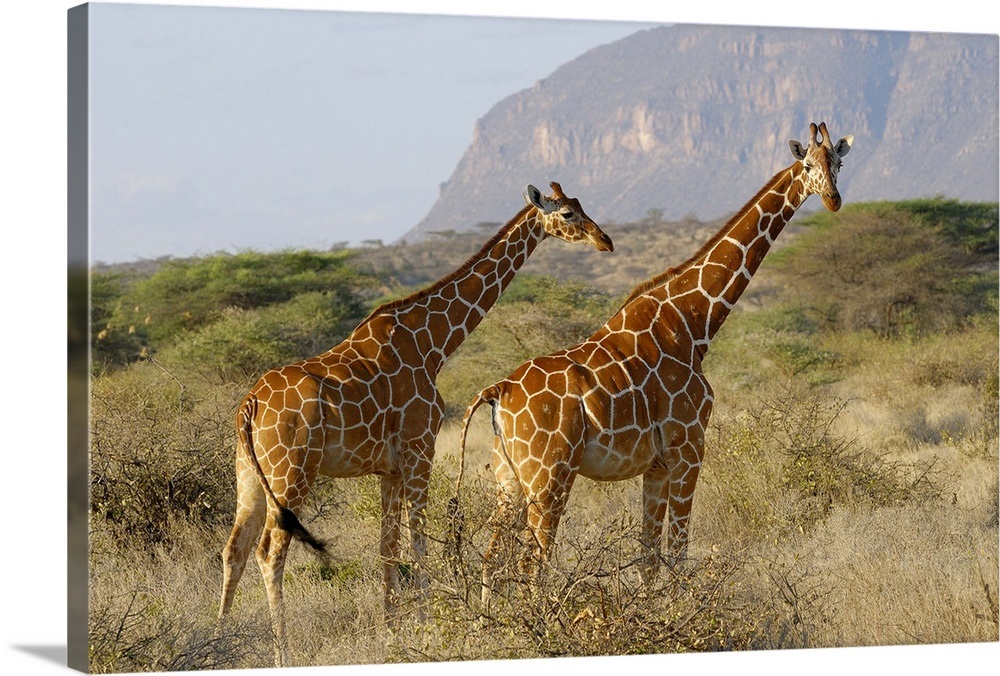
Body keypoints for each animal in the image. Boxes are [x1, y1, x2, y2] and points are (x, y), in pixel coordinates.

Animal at [217, 182, 613, 666]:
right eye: (570, 214)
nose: (605, 241)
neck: (435, 343)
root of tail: (249, 404)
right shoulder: (421, 448)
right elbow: (419, 539)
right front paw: (427, 626)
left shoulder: (388, 467)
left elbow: (388, 548)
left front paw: (392, 630)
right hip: (290, 470)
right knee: (270, 551)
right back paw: (282, 654)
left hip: (250, 474)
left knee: (234, 548)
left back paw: (217, 643)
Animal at [454, 123, 853, 606]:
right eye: (808, 165)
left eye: (839, 162)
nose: (833, 199)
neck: (695, 321)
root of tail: (497, 391)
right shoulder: (689, 448)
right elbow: (678, 553)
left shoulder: (656, 465)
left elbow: (648, 559)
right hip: (549, 476)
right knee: (532, 563)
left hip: (508, 479)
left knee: (491, 558)